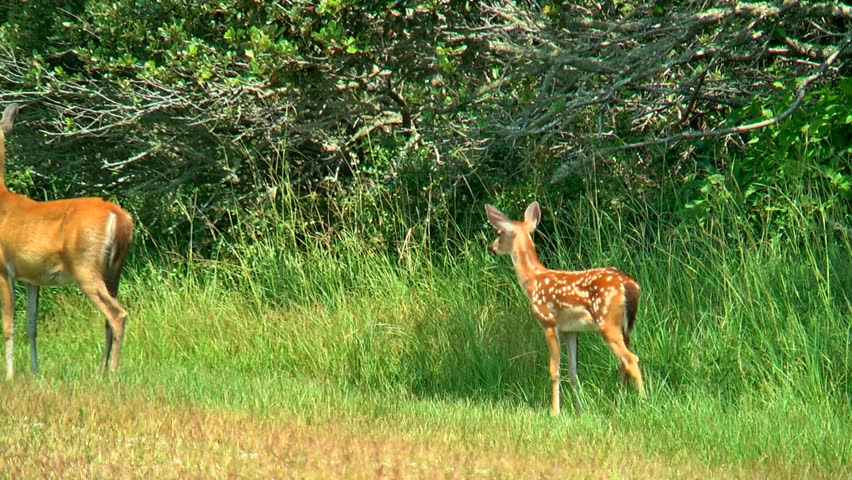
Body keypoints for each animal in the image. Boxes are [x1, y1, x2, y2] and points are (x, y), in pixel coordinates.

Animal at [0, 103, 133, 380]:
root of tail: (119, 217)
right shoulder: (31, 278)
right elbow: (31, 324)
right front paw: (35, 371)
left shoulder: (3, 268)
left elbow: (8, 325)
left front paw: (9, 376)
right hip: (114, 270)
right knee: (109, 317)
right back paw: (101, 370)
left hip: (85, 267)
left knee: (117, 314)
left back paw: (112, 373)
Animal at [485, 202, 645, 415]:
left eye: (499, 232)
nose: (491, 248)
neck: (533, 281)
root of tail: (630, 285)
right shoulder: (571, 330)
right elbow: (573, 372)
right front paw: (580, 411)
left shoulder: (548, 322)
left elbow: (554, 369)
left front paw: (555, 412)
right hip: (627, 327)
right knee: (623, 362)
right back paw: (619, 402)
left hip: (607, 322)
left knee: (630, 359)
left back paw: (644, 401)